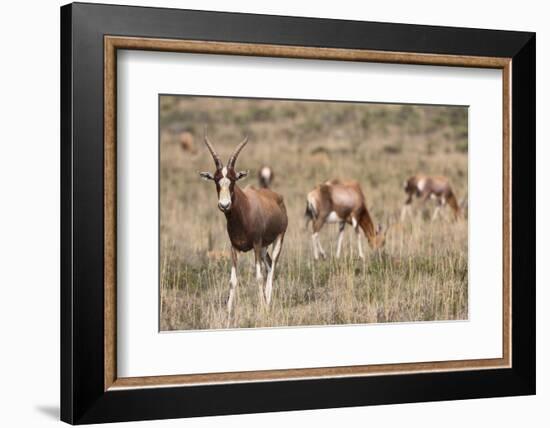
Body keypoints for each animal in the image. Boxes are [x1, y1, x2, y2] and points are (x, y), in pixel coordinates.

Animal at [199, 131, 288, 314]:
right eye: (216, 179)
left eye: (233, 179)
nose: (224, 205)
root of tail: (277, 197)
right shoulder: (234, 248)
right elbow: (232, 280)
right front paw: (228, 312)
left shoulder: (255, 244)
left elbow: (258, 277)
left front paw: (262, 308)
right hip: (264, 247)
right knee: (269, 265)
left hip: (277, 239)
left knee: (273, 267)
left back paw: (268, 302)